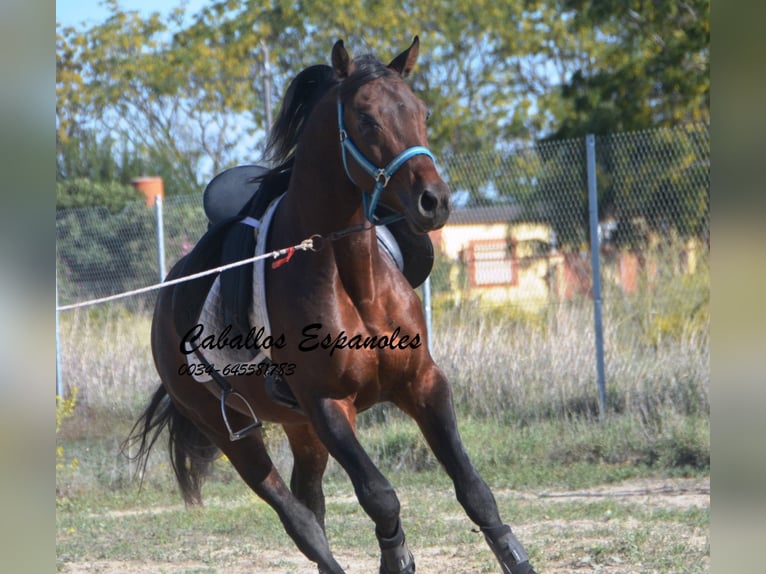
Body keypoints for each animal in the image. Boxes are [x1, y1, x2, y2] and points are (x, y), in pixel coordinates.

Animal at [129, 37, 536, 574]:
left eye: (421, 111)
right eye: (366, 118)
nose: (434, 202)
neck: (355, 283)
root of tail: (168, 297)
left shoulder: (423, 384)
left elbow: (474, 488)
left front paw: (513, 556)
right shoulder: (328, 406)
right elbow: (380, 496)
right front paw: (396, 559)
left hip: (300, 429)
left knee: (309, 499)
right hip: (232, 433)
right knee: (298, 517)